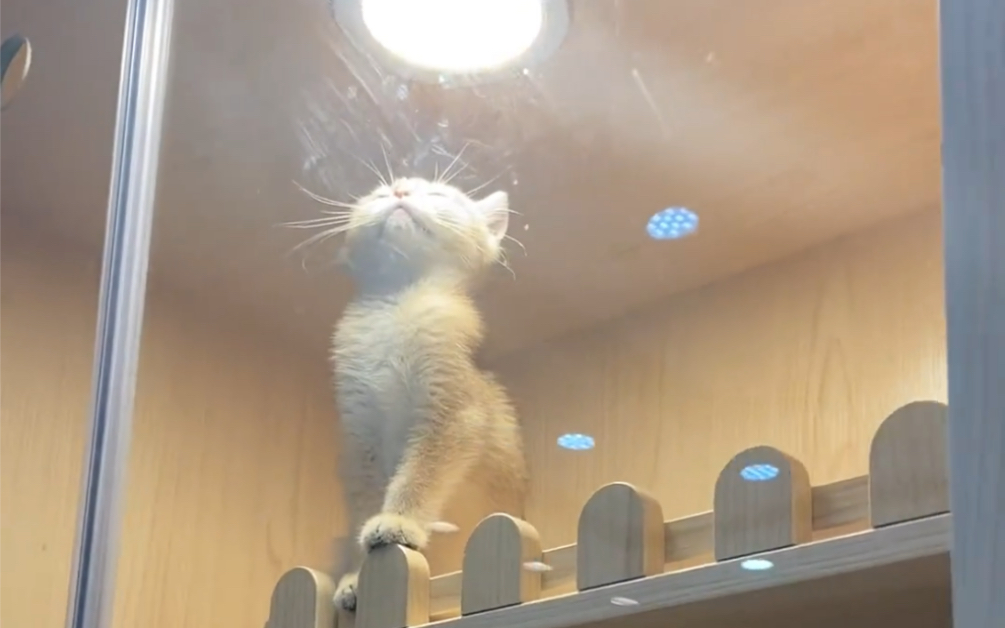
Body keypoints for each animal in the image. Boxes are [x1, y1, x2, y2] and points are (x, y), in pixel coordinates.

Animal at [326, 176, 528, 612]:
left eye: (438, 194)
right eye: (379, 193)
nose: (400, 190)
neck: (396, 305)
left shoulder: (451, 413)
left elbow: (420, 473)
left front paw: (400, 521)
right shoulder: (360, 437)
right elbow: (364, 501)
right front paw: (355, 574)